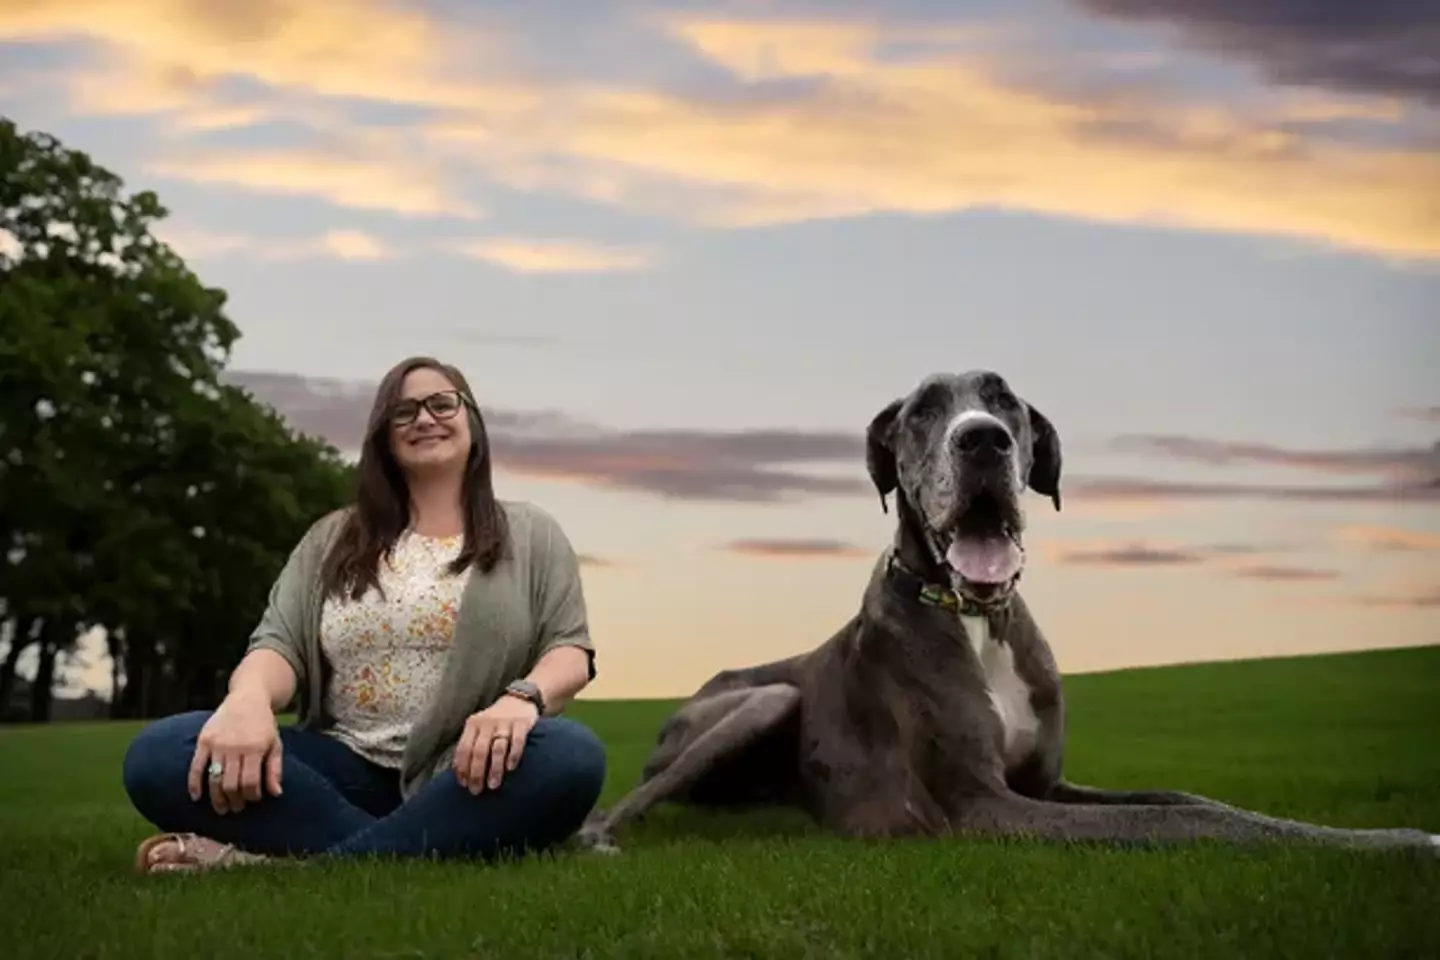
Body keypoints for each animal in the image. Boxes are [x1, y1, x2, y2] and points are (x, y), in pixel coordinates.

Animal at [573, 371, 1440, 857]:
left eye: (1005, 403)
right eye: (923, 411)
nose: (982, 440)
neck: (978, 619)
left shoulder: (1045, 784)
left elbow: (1192, 801)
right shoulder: (984, 807)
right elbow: (1187, 824)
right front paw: (1397, 841)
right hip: (764, 699)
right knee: (614, 807)